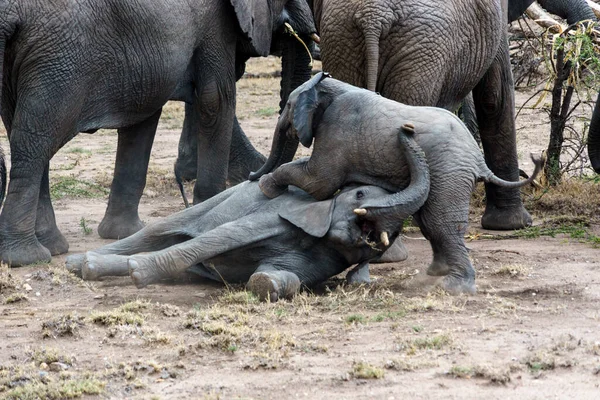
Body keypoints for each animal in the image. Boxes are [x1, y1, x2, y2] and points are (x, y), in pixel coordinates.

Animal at [0, 0, 316, 268]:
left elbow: (142, 119)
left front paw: (124, 233)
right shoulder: (216, 24)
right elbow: (216, 100)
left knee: (27, 137)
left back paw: (51, 246)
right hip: (60, 63)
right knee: (35, 143)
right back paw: (26, 257)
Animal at [64, 128, 432, 300]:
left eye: (393, 234)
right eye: (358, 194)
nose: (407, 129)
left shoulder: (325, 259)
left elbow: (284, 277)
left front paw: (263, 283)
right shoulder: (279, 213)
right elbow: (219, 238)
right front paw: (138, 272)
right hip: (222, 197)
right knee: (158, 233)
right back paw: (81, 264)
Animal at [251, 72, 540, 294]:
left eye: (288, 105)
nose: (252, 175)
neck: (329, 85)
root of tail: (479, 161)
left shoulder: (336, 129)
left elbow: (319, 182)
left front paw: (266, 187)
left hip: (449, 171)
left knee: (441, 222)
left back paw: (453, 288)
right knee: (430, 222)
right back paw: (436, 273)